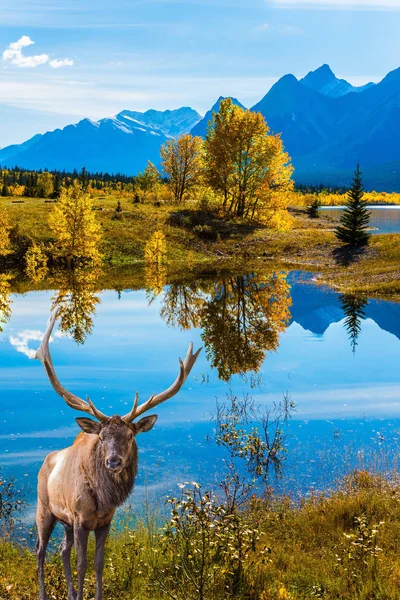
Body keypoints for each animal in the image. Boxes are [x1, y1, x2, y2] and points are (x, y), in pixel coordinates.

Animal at [35, 310, 200, 600]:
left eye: (131, 436)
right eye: (101, 437)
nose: (113, 461)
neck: (102, 499)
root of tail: (44, 463)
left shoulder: (105, 521)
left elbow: (99, 563)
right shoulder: (79, 519)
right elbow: (82, 563)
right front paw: (81, 594)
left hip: (64, 522)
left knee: (62, 551)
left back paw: (69, 592)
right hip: (44, 509)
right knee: (41, 552)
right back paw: (44, 593)